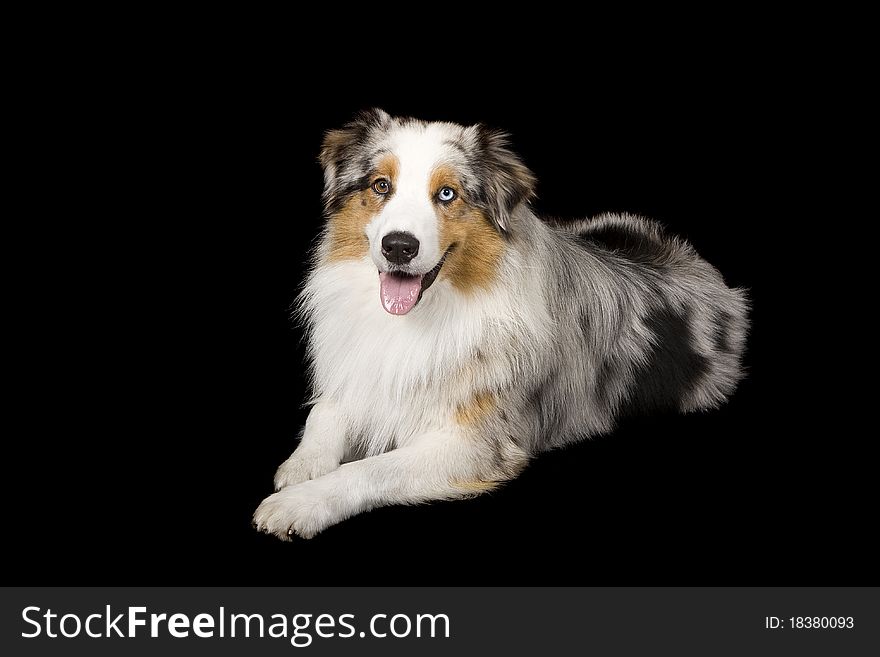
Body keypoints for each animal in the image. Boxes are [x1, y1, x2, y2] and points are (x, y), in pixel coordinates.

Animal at [254, 107, 748, 540]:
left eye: (447, 194)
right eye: (381, 185)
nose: (398, 246)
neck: (419, 317)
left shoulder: (473, 442)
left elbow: (371, 468)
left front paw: (300, 503)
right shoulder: (361, 377)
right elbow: (326, 411)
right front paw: (302, 466)